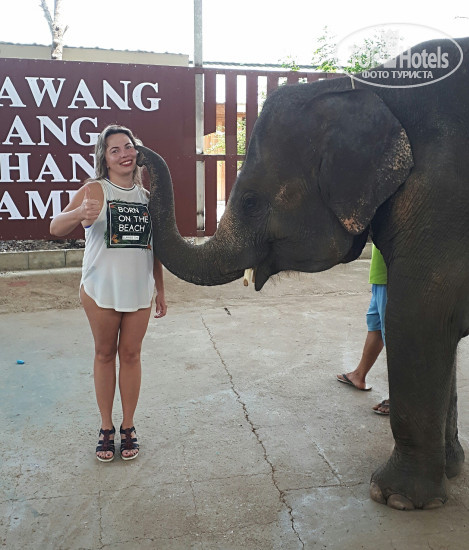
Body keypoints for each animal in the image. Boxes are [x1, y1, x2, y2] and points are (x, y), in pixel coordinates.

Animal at [137, 36, 469, 510]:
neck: (370, 86)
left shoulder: (443, 203)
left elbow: (417, 319)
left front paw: (395, 499)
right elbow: (441, 330)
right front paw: (450, 472)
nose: (135, 148)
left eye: (251, 201)